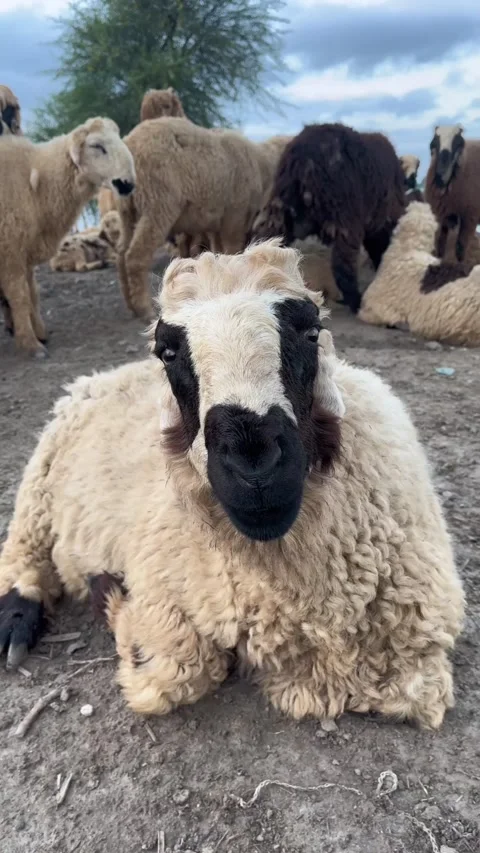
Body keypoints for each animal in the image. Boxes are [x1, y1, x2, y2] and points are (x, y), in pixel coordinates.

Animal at [0, 117, 135, 356]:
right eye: (96, 146)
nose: (127, 183)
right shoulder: (10, 250)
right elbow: (20, 296)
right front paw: (30, 344)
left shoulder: (24, 252)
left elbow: (33, 294)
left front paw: (40, 334)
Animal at [0, 239, 464, 730]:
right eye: (167, 352)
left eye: (311, 332)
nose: (254, 465)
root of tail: (107, 373)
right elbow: (176, 669)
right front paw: (105, 590)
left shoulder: (417, 648)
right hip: (42, 471)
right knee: (23, 544)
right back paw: (17, 616)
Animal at [116, 117, 269, 319]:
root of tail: (131, 143)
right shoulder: (234, 215)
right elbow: (232, 249)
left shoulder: (218, 222)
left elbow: (218, 250)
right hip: (157, 203)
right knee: (135, 255)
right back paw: (144, 308)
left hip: (127, 210)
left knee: (120, 253)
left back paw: (130, 304)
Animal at [250, 123, 406, 314]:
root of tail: (303, 159)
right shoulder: (382, 222)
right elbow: (379, 250)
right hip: (344, 217)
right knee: (343, 268)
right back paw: (355, 301)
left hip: (279, 212)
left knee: (264, 245)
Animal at [425, 124, 480, 264]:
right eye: (433, 144)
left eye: (459, 144)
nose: (440, 175)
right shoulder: (442, 216)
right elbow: (440, 245)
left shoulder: (469, 217)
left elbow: (460, 248)